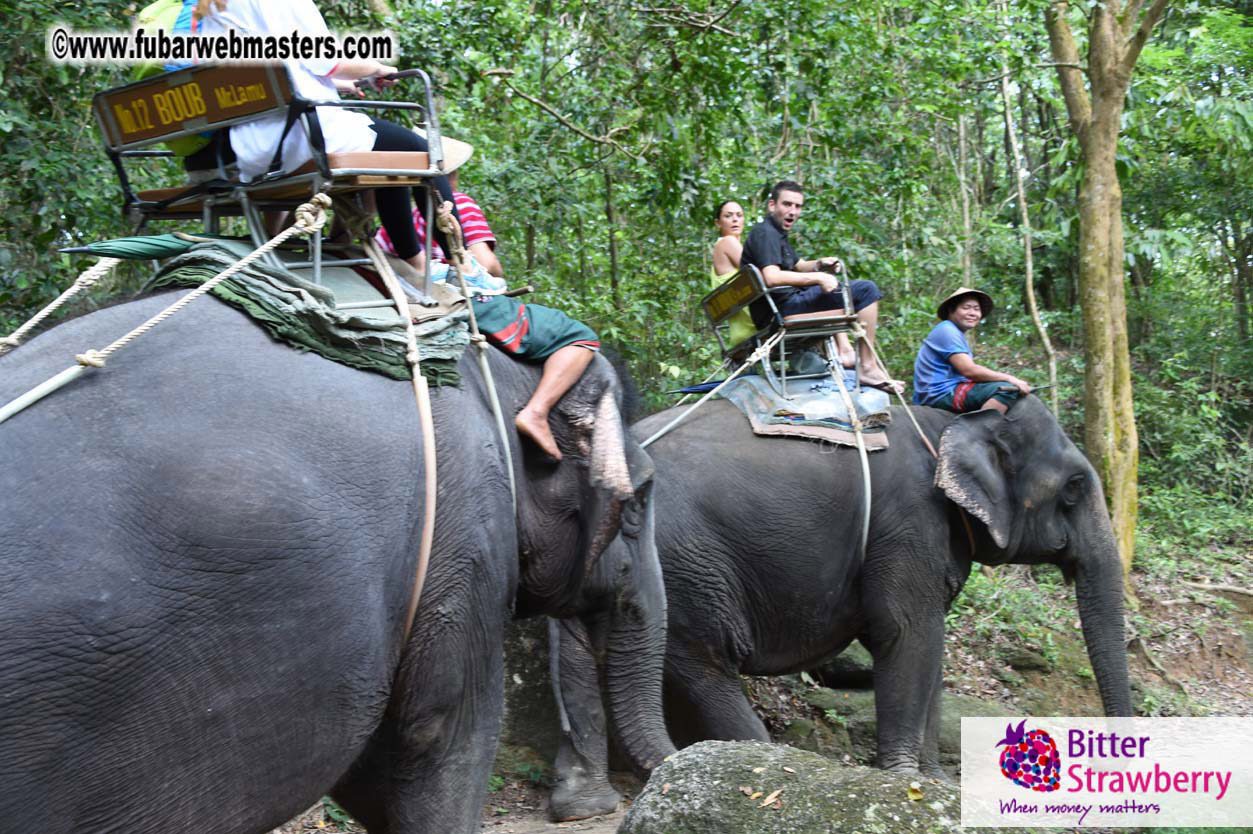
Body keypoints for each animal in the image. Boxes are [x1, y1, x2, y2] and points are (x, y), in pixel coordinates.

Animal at [548, 395, 1132, 817]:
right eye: (1075, 487)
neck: (953, 423)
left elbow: (930, 647)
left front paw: (936, 782)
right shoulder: (909, 523)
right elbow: (906, 634)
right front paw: (905, 781)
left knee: (583, 656)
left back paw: (583, 807)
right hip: (684, 568)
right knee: (707, 662)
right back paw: (763, 763)